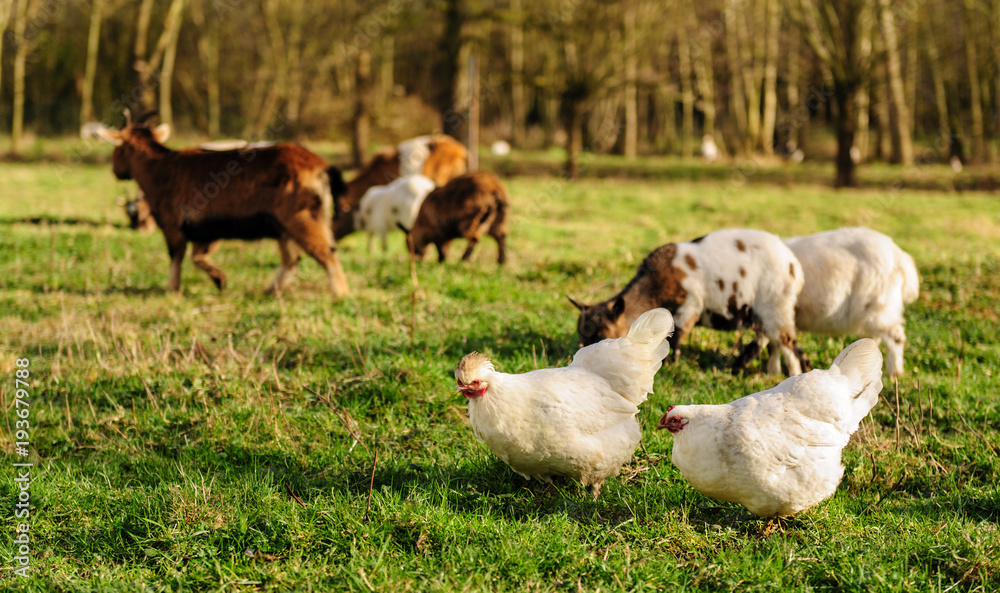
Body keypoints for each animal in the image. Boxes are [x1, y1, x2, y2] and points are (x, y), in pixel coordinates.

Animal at [95, 110, 349, 296]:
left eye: (117, 148)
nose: (116, 171)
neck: (158, 168)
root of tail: (322, 167)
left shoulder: (173, 224)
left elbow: (177, 255)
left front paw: (172, 289)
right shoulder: (207, 228)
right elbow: (197, 255)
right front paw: (220, 280)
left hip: (302, 216)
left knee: (325, 252)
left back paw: (340, 293)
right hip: (282, 225)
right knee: (292, 259)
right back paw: (269, 291)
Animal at [571, 229, 804, 376]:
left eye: (603, 336)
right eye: (581, 336)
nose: (586, 362)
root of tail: (793, 263)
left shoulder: (690, 305)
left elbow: (677, 337)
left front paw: (670, 365)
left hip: (776, 303)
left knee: (786, 341)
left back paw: (792, 374)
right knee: (768, 337)